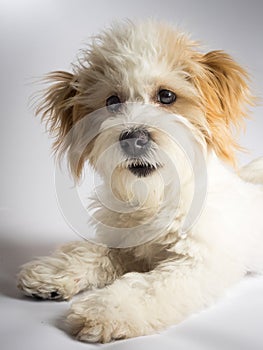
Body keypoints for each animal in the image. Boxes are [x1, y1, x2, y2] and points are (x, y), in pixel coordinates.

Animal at [17, 19, 263, 342]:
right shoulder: (124, 244)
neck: (154, 196)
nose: (134, 138)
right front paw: (51, 273)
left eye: (167, 96)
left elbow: (149, 287)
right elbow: (90, 251)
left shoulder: (198, 262)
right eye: (112, 101)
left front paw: (105, 310)